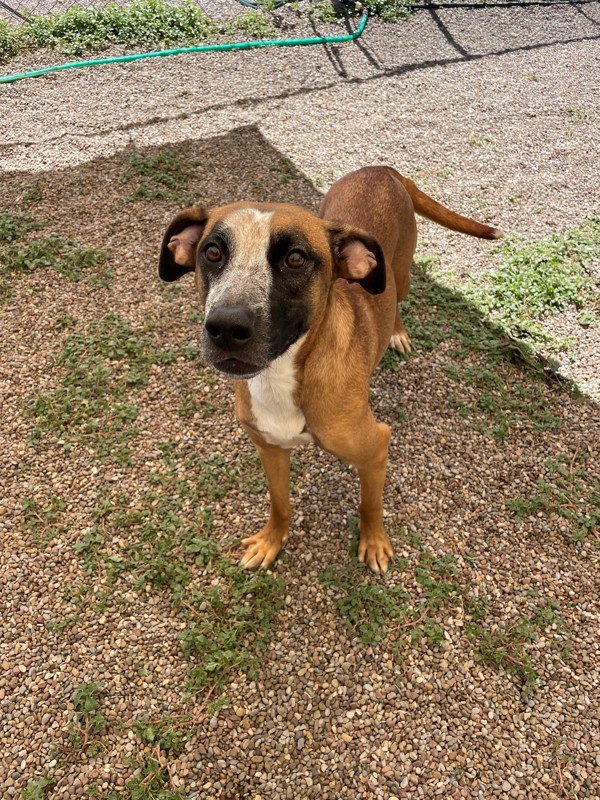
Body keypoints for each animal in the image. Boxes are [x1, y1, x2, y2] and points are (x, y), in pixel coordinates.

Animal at [159, 166, 502, 572]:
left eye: (295, 259)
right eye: (212, 252)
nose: (226, 327)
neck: (284, 375)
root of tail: (381, 168)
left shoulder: (375, 448)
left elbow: (371, 504)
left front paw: (374, 542)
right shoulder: (270, 449)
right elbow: (279, 504)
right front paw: (271, 541)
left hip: (400, 274)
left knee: (397, 299)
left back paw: (397, 332)